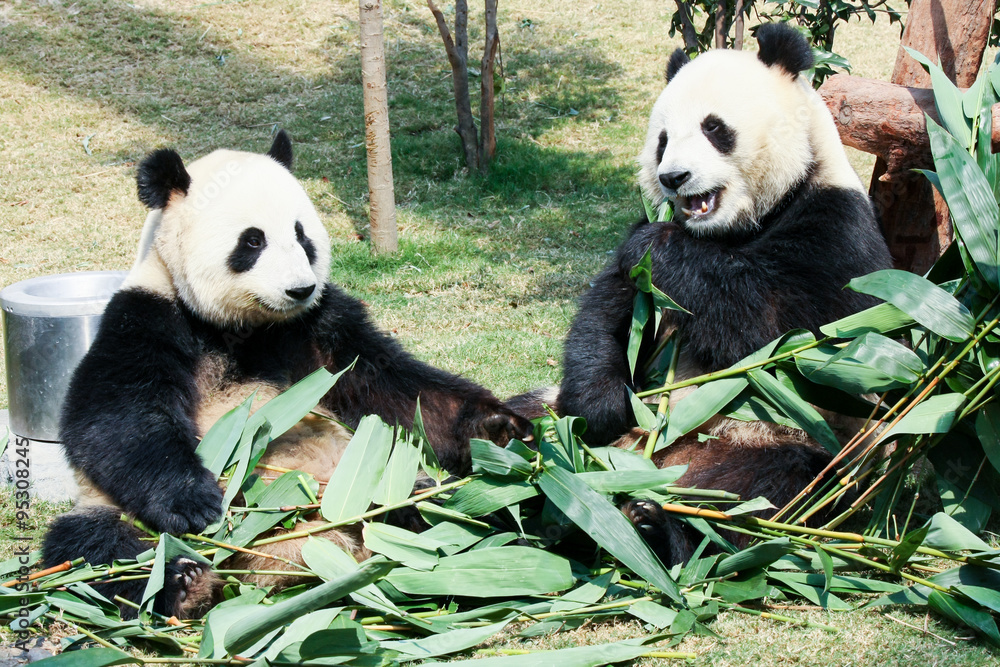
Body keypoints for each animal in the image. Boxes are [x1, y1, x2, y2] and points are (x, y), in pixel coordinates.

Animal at [42, 130, 532, 619]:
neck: (242, 325)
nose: (299, 288)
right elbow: (111, 419)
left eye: (302, 235)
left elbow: (395, 388)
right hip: (108, 513)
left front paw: (499, 427)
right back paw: (184, 582)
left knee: (448, 503)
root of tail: (287, 557)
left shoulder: (319, 326)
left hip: (379, 474)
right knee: (99, 551)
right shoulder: (148, 316)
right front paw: (196, 503)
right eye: (252, 241)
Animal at [515, 24, 893, 565]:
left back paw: (652, 528)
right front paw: (600, 408)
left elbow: (796, 339)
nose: (674, 177)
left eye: (715, 128)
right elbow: (607, 317)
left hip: (779, 440)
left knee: (759, 496)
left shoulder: (838, 233)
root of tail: (649, 460)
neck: (731, 230)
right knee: (507, 423)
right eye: (663, 140)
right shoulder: (637, 256)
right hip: (545, 414)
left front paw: (662, 247)